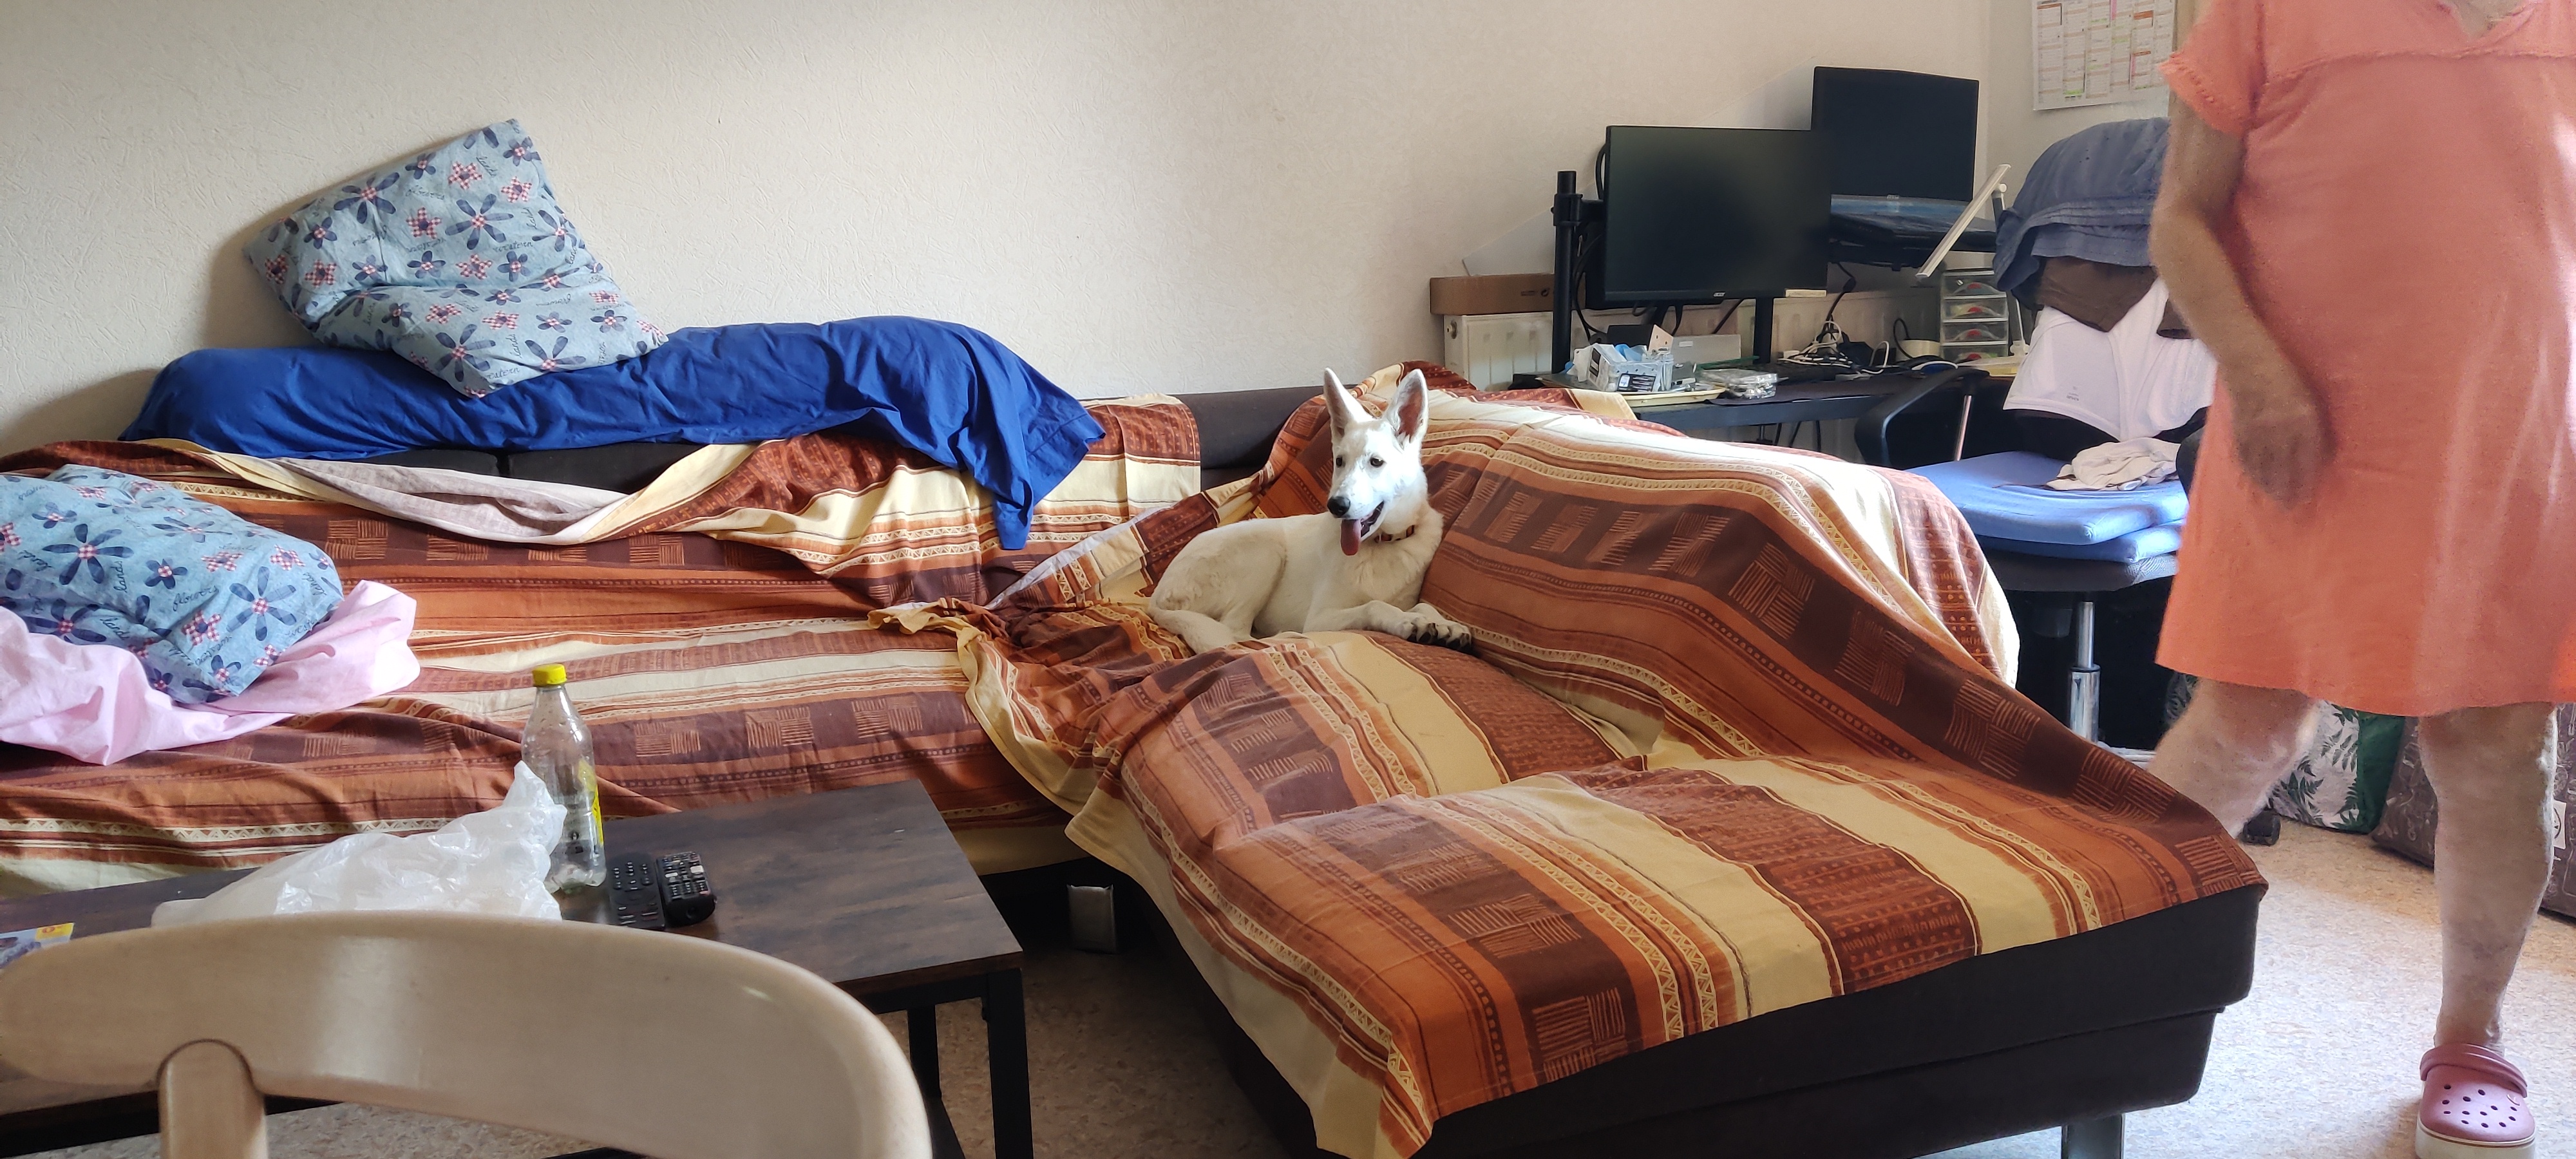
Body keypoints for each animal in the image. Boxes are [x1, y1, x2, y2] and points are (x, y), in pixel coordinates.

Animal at [1149, 368, 1474, 655]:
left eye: (1376, 462)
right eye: (1339, 461)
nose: (1336, 506)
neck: (1380, 545)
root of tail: (1155, 599)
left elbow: (1423, 605)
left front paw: (1444, 624)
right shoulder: (1322, 617)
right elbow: (1375, 605)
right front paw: (1407, 621)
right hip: (1264, 550)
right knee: (1234, 632)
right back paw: (1287, 636)